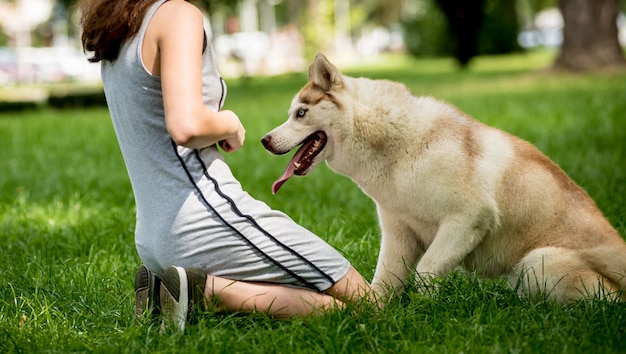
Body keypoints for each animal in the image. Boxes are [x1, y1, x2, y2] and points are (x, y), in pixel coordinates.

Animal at [260, 54, 624, 302]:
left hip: (539, 262)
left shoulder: (468, 219)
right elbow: (384, 281)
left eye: (301, 113)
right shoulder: (399, 233)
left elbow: (425, 272)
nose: (264, 139)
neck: (394, 147)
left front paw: (421, 314)